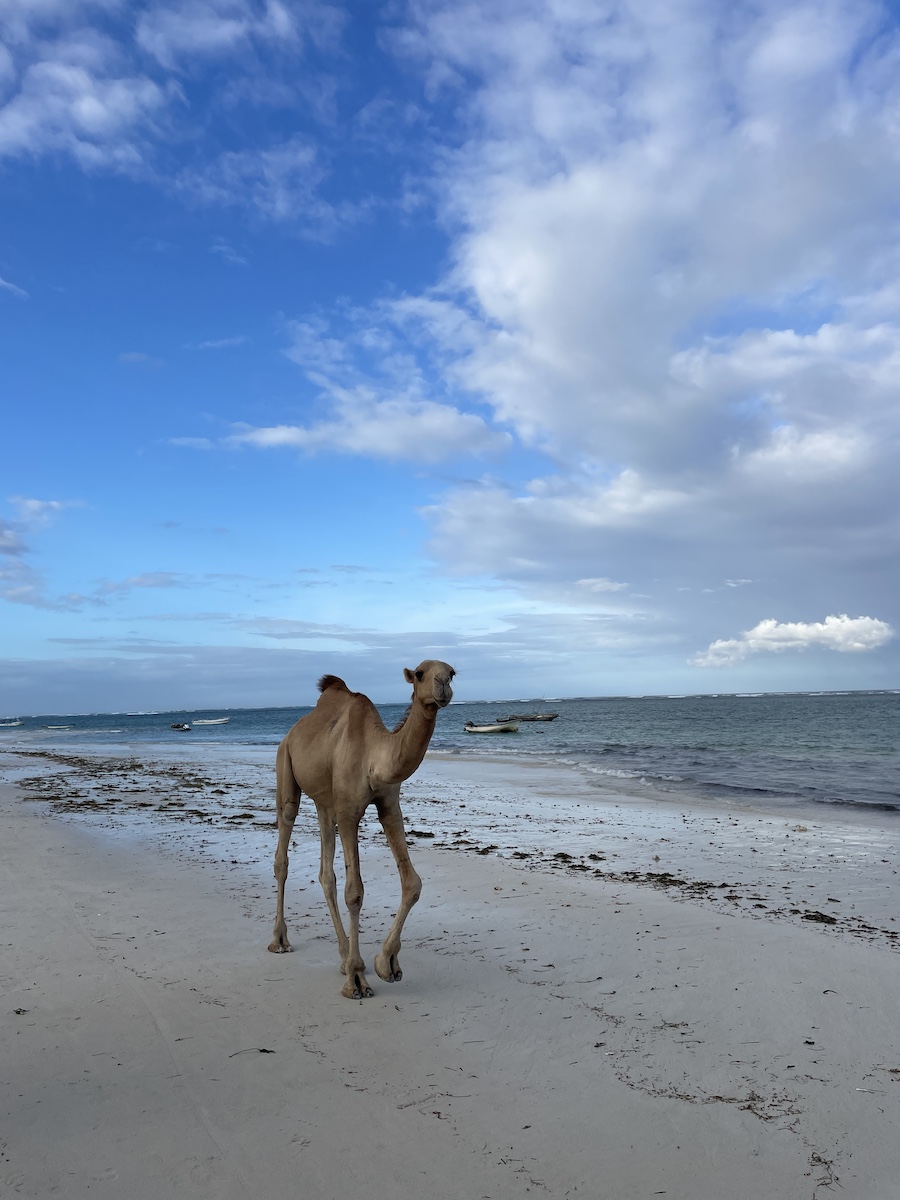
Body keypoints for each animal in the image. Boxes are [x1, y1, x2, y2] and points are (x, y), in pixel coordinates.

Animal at [268, 659, 455, 998]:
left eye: (452, 672)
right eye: (420, 673)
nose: (443, 685)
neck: (373, 756)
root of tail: (292, 732)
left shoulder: (389, 805)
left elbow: (412, 882)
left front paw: (386, 962)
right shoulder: (348, 812)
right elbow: (355, 892)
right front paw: (357, 979)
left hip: (325, 802)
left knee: (325, 873)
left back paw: (343, 956)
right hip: (285, 764)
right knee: (283, 851)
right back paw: (280, 940)